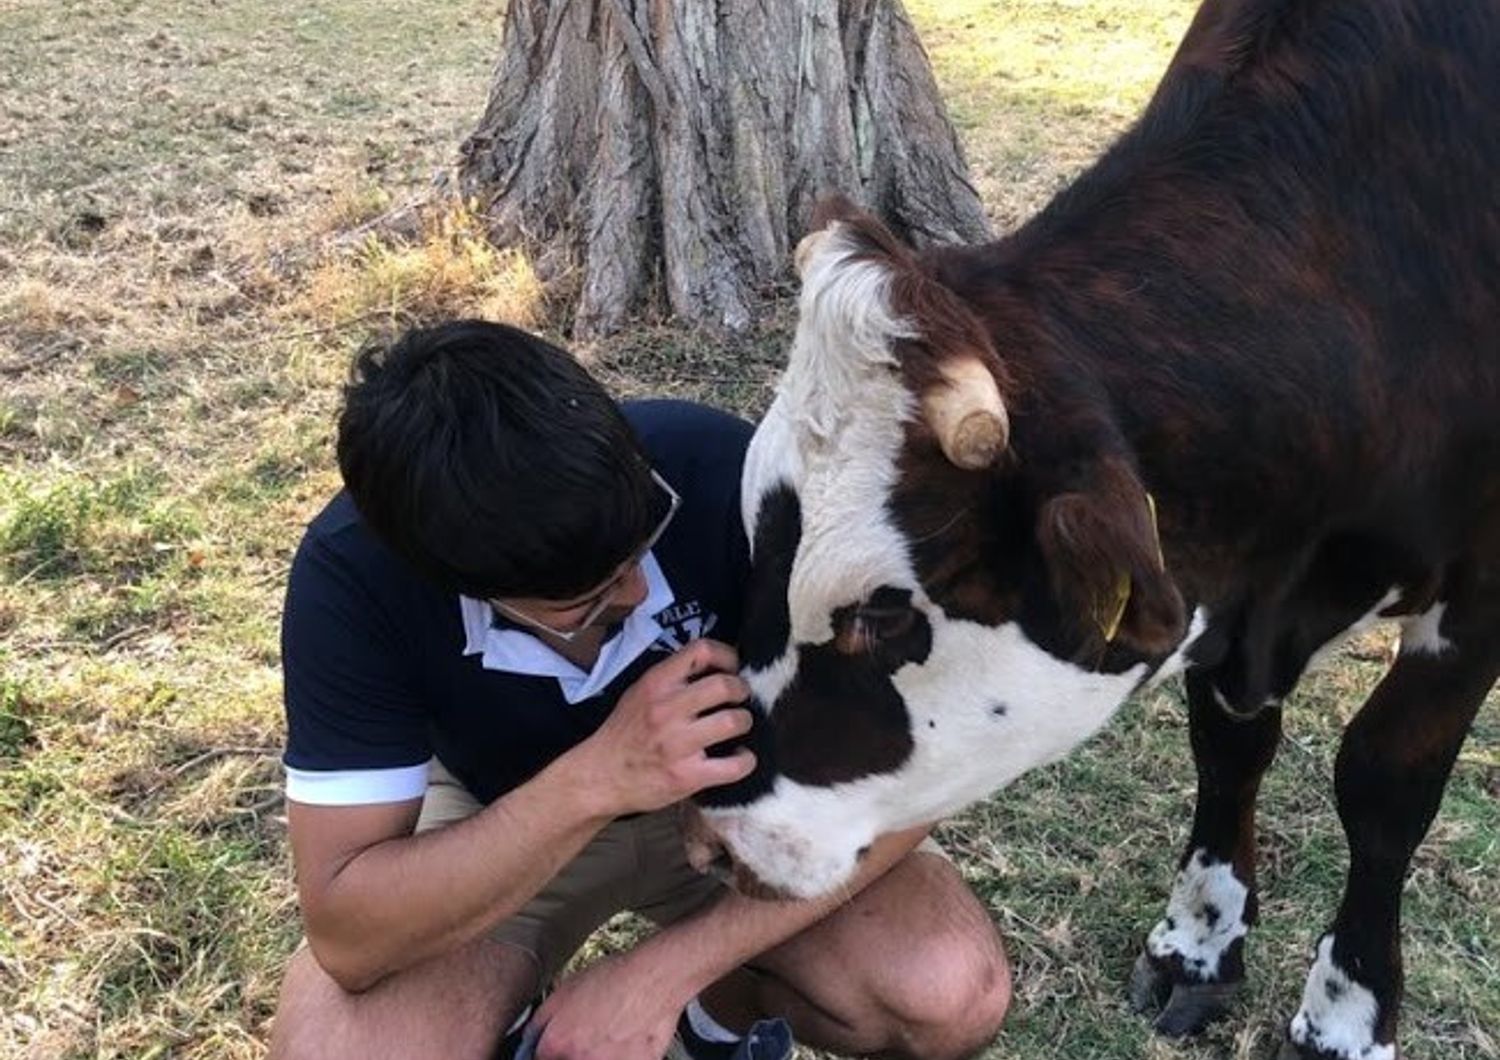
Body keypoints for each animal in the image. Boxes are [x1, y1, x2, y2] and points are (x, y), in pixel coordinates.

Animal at [690, 2, 1500, 1060]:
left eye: (883, 612)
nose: (710, 837)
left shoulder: (1480, 595)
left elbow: (1382, 786)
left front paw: (1346, 1015)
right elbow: (1229, 748)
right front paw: (1198, 946)